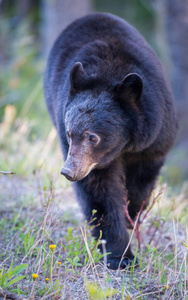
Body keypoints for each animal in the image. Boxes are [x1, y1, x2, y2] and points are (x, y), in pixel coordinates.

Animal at [44, 12, 178, 270]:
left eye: (93, 137)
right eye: (69, 133)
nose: (68, 171)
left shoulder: (154, 137)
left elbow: (142, 180)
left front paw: (132, 214)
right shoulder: (90, 160)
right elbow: (99, 191)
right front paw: (120, 255)